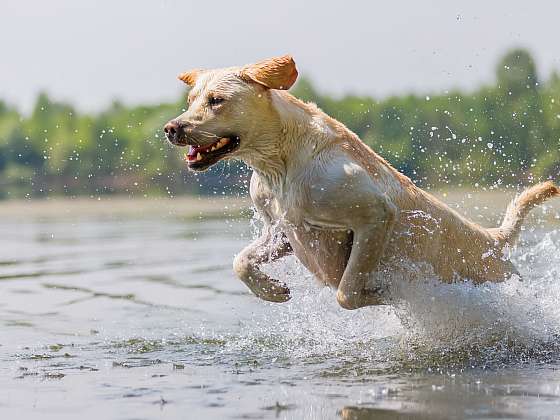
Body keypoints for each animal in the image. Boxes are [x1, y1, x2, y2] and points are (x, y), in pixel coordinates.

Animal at [163, 55, 560, 310]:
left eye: (217, 100)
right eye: (191, 100)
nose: (171, 128)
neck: (281, 161)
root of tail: (493, 238)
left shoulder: (374, 215)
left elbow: (346, 290)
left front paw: (385, 294)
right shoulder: (282, 231)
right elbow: (241, 261)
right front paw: (271, 290)